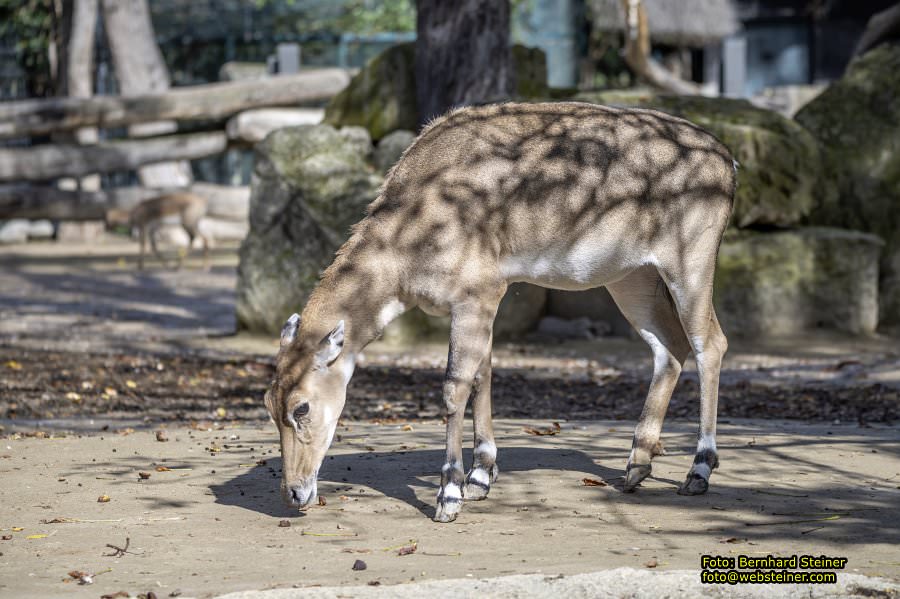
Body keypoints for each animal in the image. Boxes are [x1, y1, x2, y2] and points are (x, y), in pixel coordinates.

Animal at [264, 101, 736, 524]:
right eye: (269, 402)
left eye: (302, 407)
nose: (294, 493)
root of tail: (728, 163)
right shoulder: (482, 301)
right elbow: (483, 376)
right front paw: (480, 477)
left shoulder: (477, 293)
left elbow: (454, 387)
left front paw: (450, 495)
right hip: (630, 276)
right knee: (668, 348)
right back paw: (636, 466)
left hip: (690, 261)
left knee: (710, 342)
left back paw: (698, 471)